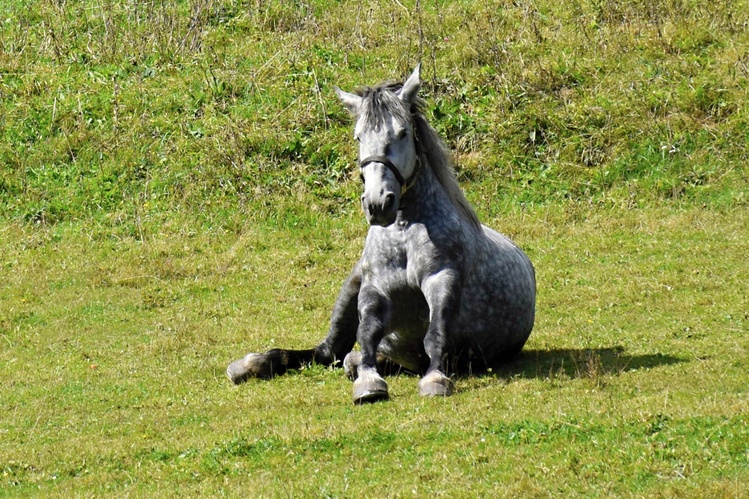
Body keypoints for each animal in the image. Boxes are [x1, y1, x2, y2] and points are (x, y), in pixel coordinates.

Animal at [225, 66, 536, 404]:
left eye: (402, 133)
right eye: (359, 136)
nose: (377, 203)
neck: (403, 233)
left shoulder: (442, 278)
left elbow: (436, 333)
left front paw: (435, 378)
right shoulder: (374, 288)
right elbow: (367, 334)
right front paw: (368, 381)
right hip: (352, 283)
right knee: (327, 352)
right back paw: (251, 364)